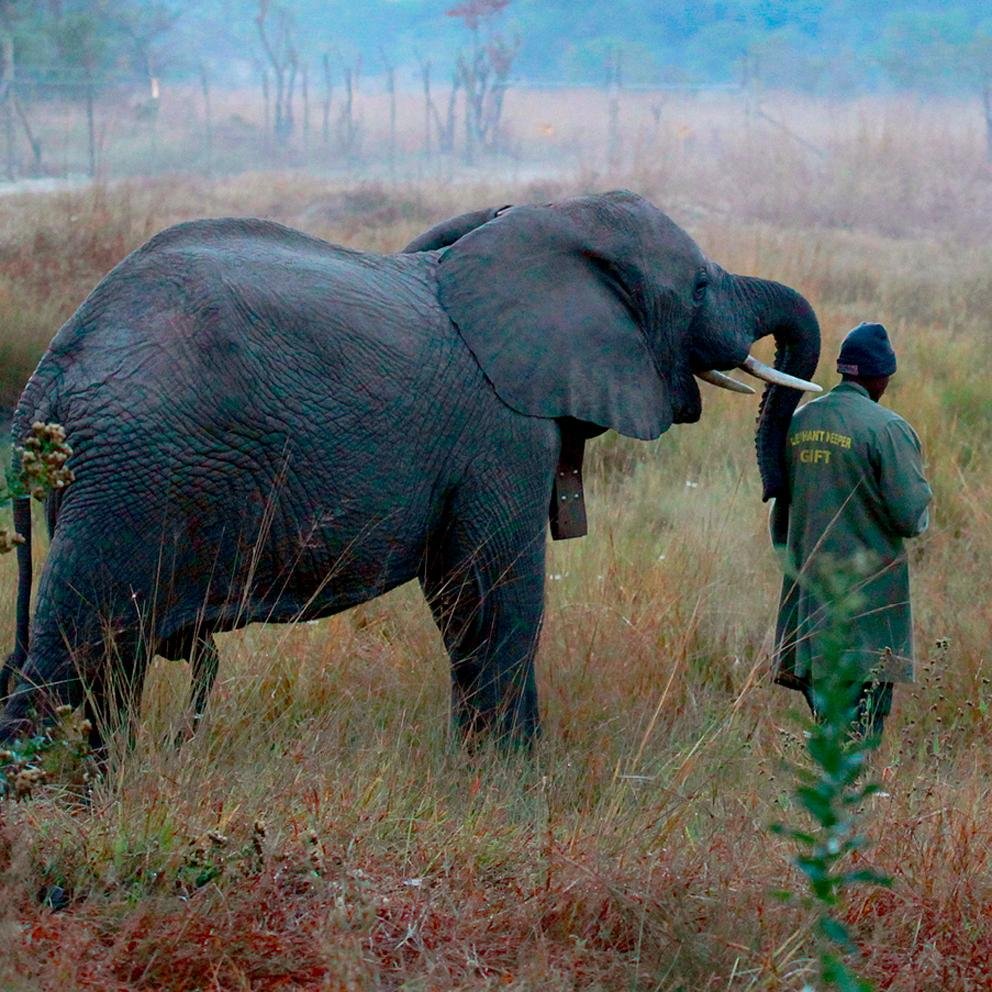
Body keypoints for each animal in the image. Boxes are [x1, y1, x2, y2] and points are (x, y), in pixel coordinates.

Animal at [0, 190, 820, 753]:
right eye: (700, 287)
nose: (777, 494)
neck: (548, 219)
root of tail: (52, 369)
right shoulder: (500, 432)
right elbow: (491, 597)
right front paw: (511, 789)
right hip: (131, 476)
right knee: (71, 655)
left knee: (109, 664)